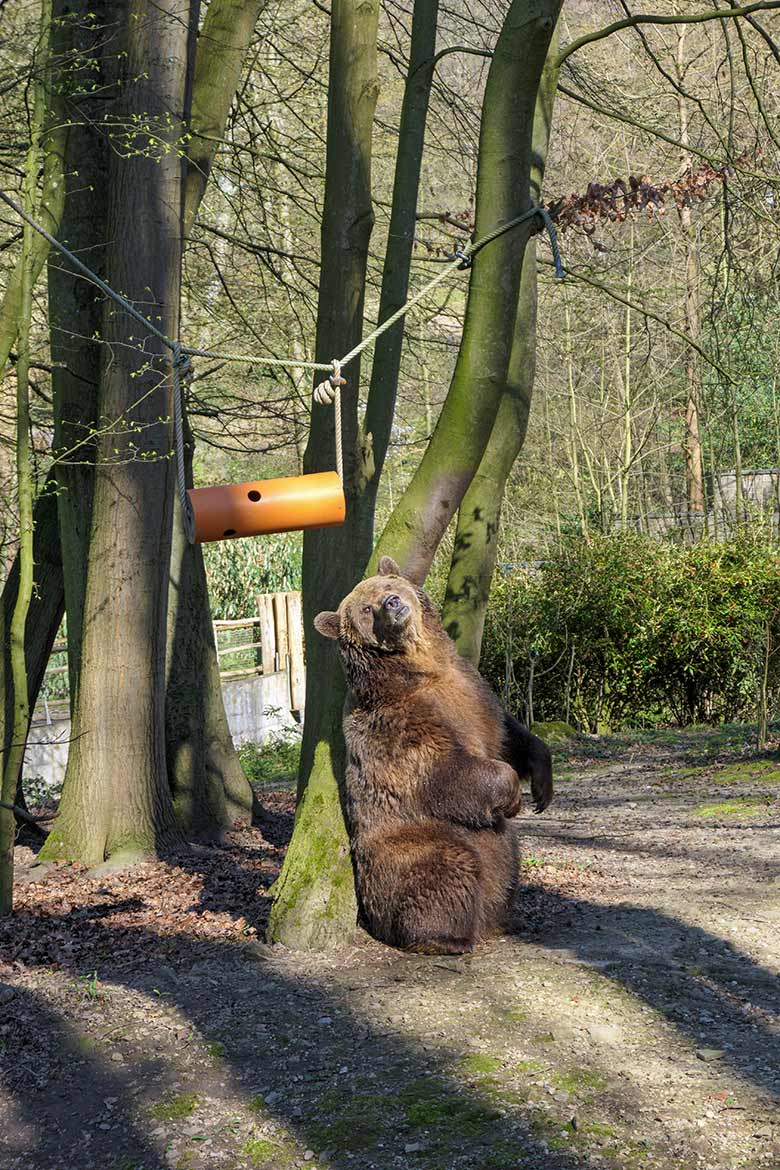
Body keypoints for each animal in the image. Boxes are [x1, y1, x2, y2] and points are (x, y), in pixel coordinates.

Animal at [313, 554, 551, 950]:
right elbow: (444, 767)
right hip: (414, 843)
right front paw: (513, 795)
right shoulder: (401, 722)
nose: (392, 604)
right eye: (365, 608)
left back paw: (506, 919)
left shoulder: (474, 690)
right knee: (445, 868)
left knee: (508, 864)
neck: (423, 667)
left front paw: (543, 785)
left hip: (503, 855)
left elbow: (508, 734)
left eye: (389, 586)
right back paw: (444, 937)